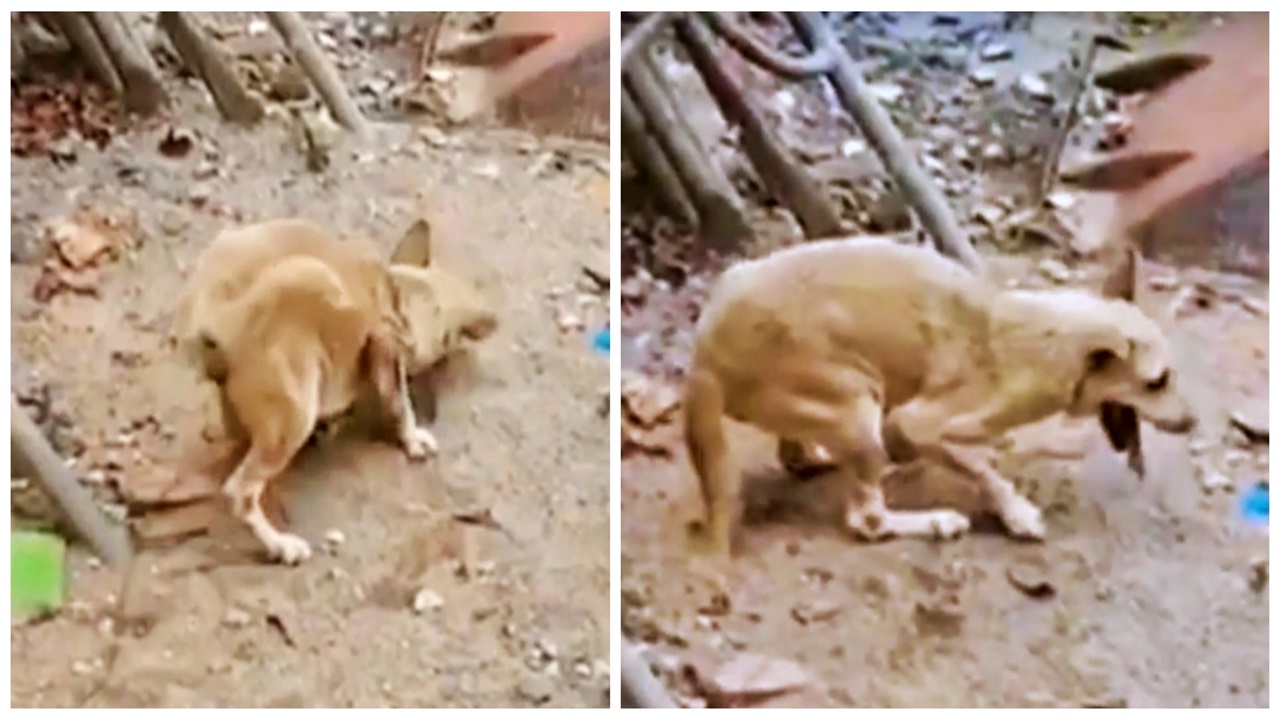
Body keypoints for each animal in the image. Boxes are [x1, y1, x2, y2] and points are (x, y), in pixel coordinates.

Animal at [177, 217, 496, 561]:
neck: (396, 290)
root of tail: (214, 329)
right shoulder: (386, 346)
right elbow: (400, 403)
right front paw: (412, 440)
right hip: (296, 399)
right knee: (240, 491)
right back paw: (282, 545)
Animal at [686, 237, 1192, 556]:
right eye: (1156, 382)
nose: (1193, 423)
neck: (1039, 342)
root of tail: (703, 353)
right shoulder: (911, 422)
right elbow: (980, 466)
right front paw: (1015, 512)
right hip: (859, 406)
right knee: (866, 521)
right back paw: (936, 521)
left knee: (795, 453)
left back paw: (824, 457)